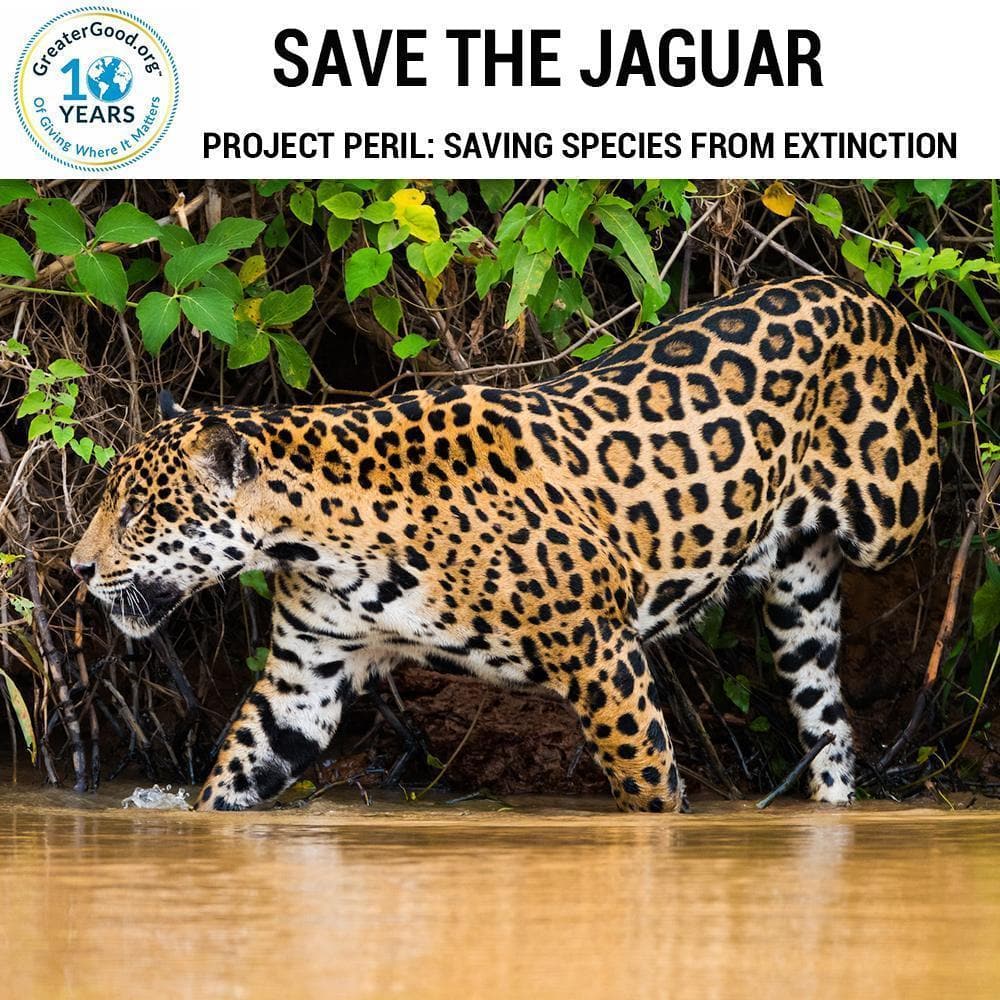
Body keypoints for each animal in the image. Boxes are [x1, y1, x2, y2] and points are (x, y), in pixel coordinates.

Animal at [71, 275, 940, 812]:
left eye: (139, 510)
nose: (78, 567)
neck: (318, 542)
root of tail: (852, 288)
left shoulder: (600, 652)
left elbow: (649, 783)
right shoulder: (305, 675)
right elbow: (238, 771)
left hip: (894, 511)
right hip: (800, 604)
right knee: (823, 712)